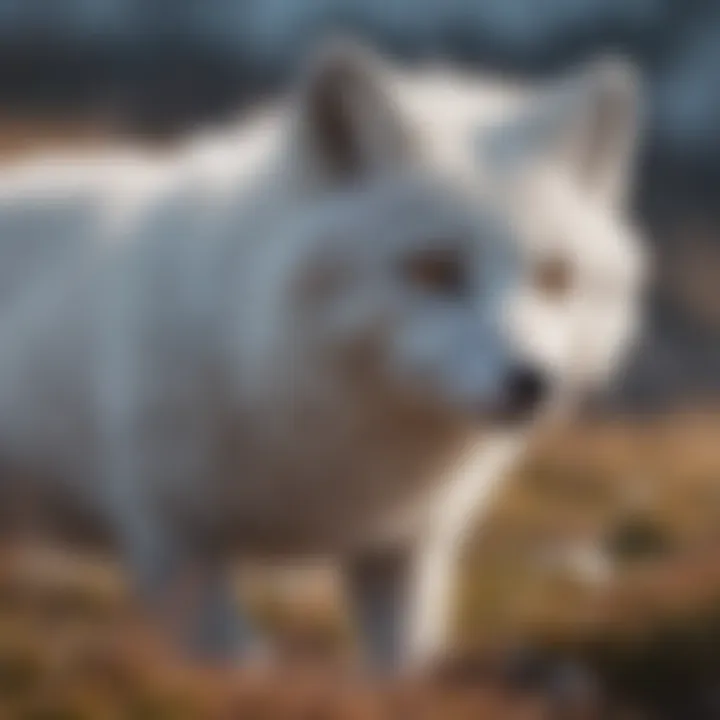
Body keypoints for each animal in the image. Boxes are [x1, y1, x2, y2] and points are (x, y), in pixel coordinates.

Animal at [0, 39, 648, 668]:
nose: (534, 382)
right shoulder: (175, 534)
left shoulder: (402, 549)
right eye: (434, 269)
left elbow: (405, 665)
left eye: (555, 276)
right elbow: (234, 663)